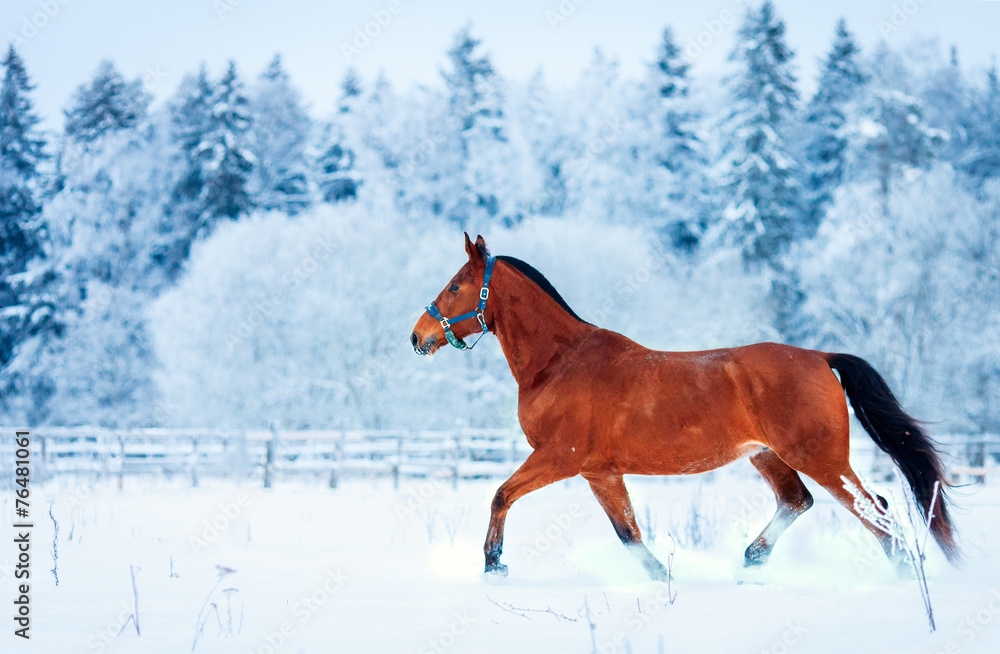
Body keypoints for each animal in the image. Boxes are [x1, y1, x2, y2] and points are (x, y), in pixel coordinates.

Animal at [409, 233, 958, 580]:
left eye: (454, 285)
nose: (418, 335)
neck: (560, 363)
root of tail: (820, 357)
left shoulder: (559, 458)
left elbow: (501, 495)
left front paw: (494, 565)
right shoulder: (600, 472)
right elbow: (628, 533)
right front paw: (660, 577)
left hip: (820, 457)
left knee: (876, 513)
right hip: (767, 455)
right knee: (797, 500)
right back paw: (750, 561)